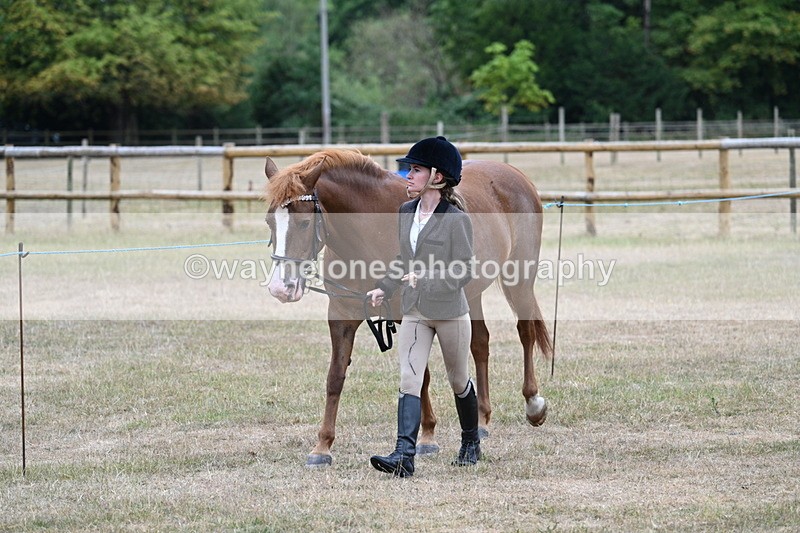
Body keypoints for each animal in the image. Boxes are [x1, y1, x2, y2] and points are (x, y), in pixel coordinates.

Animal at [263, 149, 552, 467]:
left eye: (304, 223)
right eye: (269, 222)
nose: (281, 288)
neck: (369, 232)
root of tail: (516, 176)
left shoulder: (408, 315)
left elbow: (421, 375)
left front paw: (426, 437)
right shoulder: (341, 317)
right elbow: (335, 377)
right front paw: (322, 447)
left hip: (520, 280)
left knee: (525, 332)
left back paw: (533, 404)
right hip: (470, 295)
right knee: (479, 345)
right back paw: (481, 420)